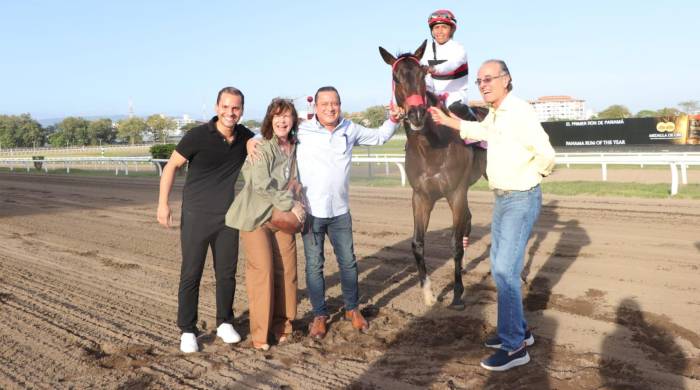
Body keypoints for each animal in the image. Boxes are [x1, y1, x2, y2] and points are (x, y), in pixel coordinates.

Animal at [380, 39, 490, 308]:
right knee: (469, 220)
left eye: (422, 74)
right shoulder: (421, 196)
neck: (431, 148)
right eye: (396, 77)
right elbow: (417, 243)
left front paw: (458, 294)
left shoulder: (456, 193)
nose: (417, 114)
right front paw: (428, 293)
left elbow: (454, 244)